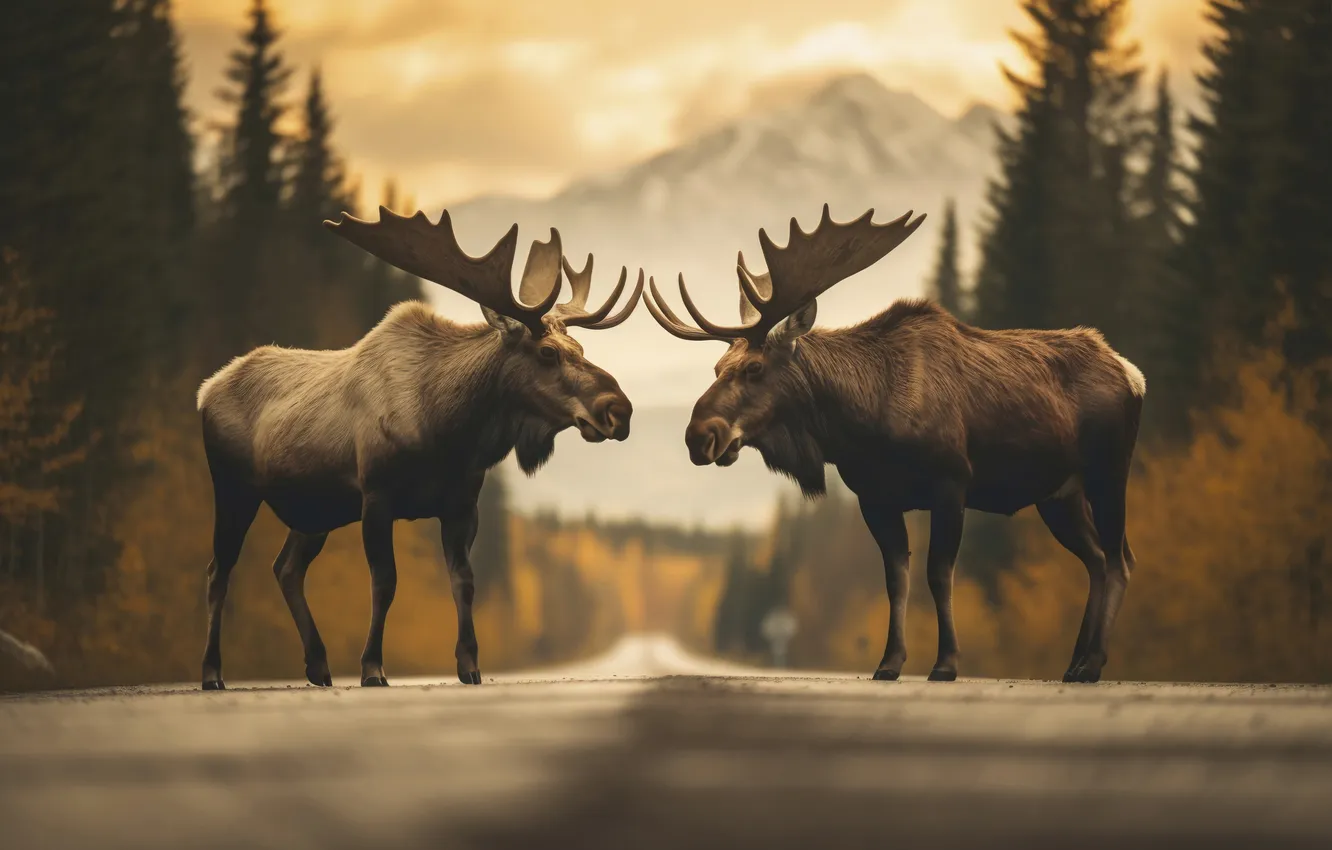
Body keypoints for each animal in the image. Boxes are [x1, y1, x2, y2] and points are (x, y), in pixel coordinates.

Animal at [195, 208, 642, 690]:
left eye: (579, 347)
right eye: (546, 352)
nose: (619, 409)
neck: (448, 430)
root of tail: (204, 392)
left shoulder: (462, 504)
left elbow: (464, 581)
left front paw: (469, 664)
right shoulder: (377, 495)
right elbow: (385, 582)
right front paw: (373, 667)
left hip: (317, 509)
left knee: (286, 568)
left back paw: (318, 665)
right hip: (235, 487)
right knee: (219, 569)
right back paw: (213, 672)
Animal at [645, 204, 1145, 684]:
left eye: (754, 368)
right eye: (716, 368)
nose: (699, 436)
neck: (862, 425)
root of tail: (1131, 372)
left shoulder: (951, 482)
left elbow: (938, 573)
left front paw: (945, 664)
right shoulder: (876, 498)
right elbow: (895, 580)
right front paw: (889, 663)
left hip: (1109, 471)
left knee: (1119, 559)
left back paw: (1092, 664)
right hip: (1058, 495)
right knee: (1096, 559)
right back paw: (1074, 663)